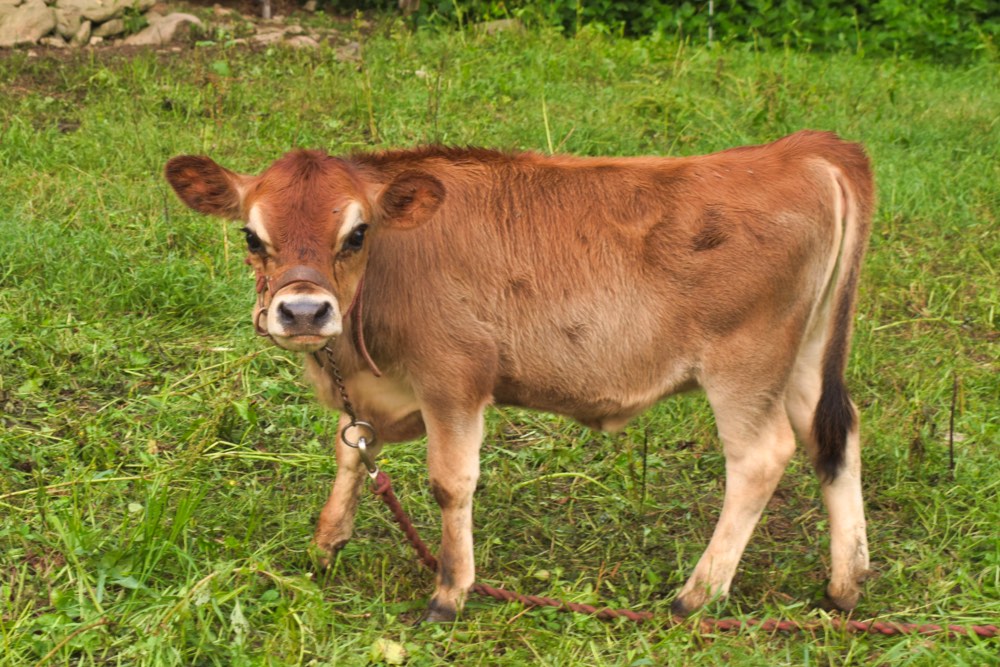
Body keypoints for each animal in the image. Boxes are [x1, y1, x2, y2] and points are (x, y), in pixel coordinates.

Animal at [165, 130, 874, 622]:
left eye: (357, 232)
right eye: (252, 235)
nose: (305, 311)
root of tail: (803, 150)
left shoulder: (453, 378)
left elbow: (450, 483)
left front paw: (450, 592)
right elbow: (351, 453)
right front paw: (326, 545)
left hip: (743, 365)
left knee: (761, 457)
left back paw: (695, 596)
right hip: (805, 355)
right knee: (834, 436)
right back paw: (845, 584)